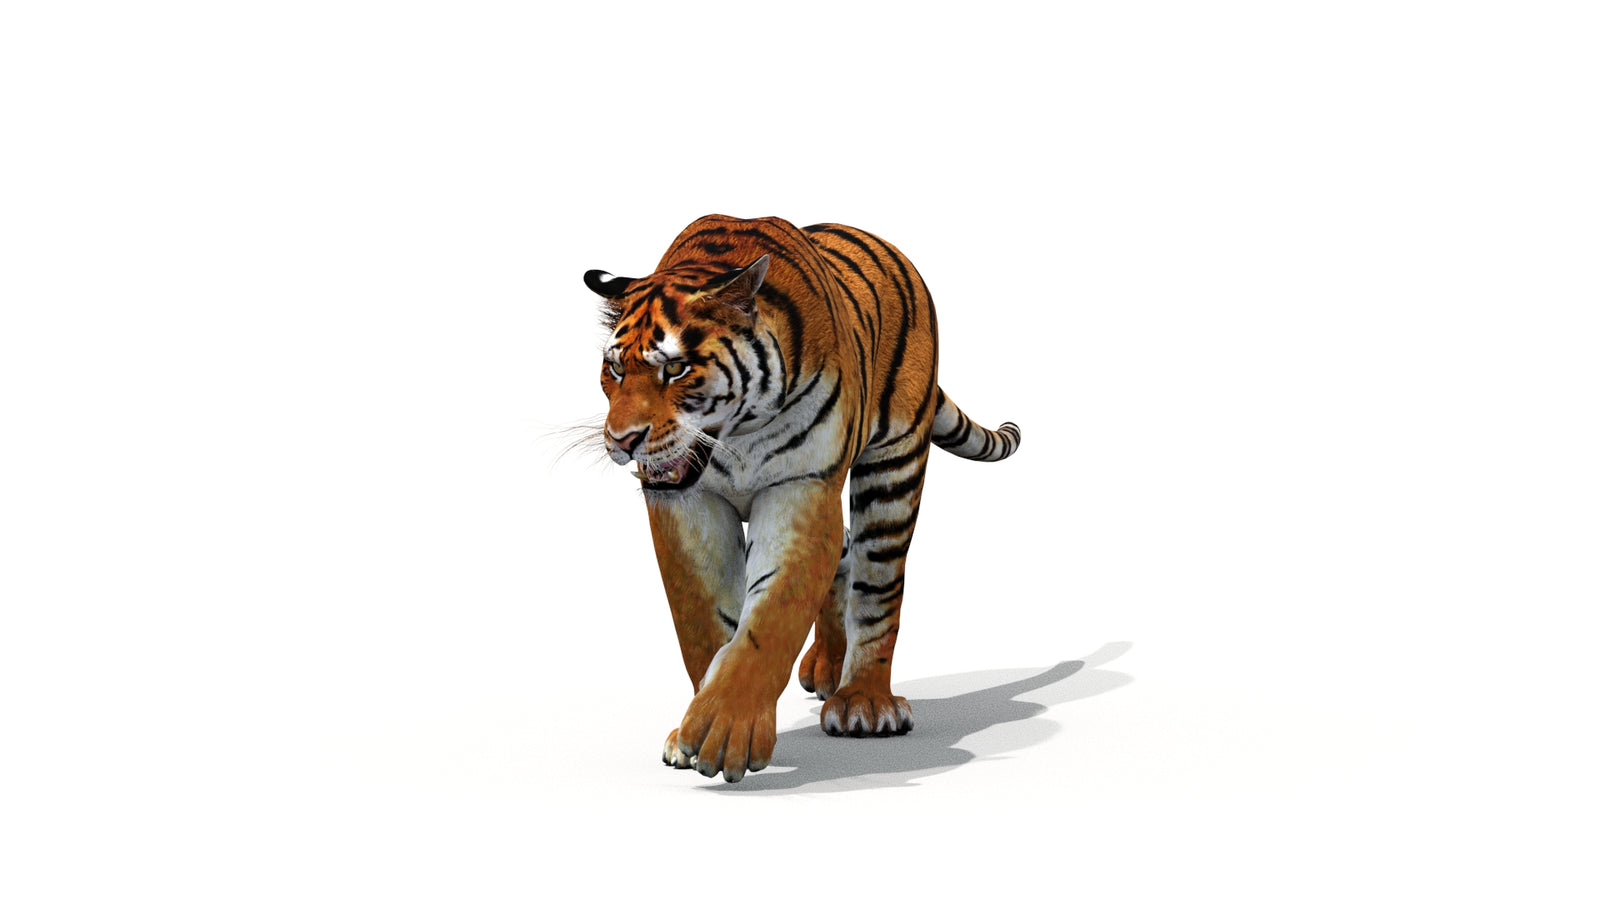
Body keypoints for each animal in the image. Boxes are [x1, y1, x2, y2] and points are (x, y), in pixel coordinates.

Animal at [583, 214, 1021, 782]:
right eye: (614, 369)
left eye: (675, 370)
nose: (622, 440)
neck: (737, 438)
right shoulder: (685, 505)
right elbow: (701, 619)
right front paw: (690, 734)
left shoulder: (803, 487)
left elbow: (772, 617)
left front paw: (725, 728)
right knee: (844, 555)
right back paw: (828, 669)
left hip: (893, 470)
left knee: (878, 588)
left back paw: (864, 702)